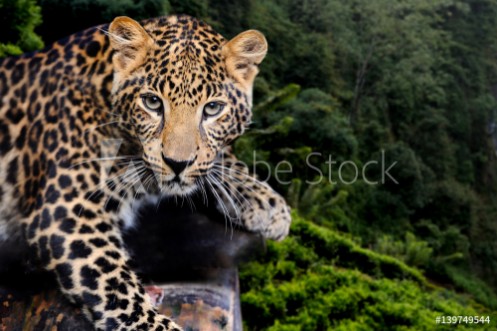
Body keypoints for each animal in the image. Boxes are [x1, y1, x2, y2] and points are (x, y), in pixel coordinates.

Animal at [0, 14, 290, 331]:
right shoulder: (66, 210)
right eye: (152, 102)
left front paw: (270, 205)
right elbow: (117, 287)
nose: (177, 163)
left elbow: (218, 157)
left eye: (213, 108)